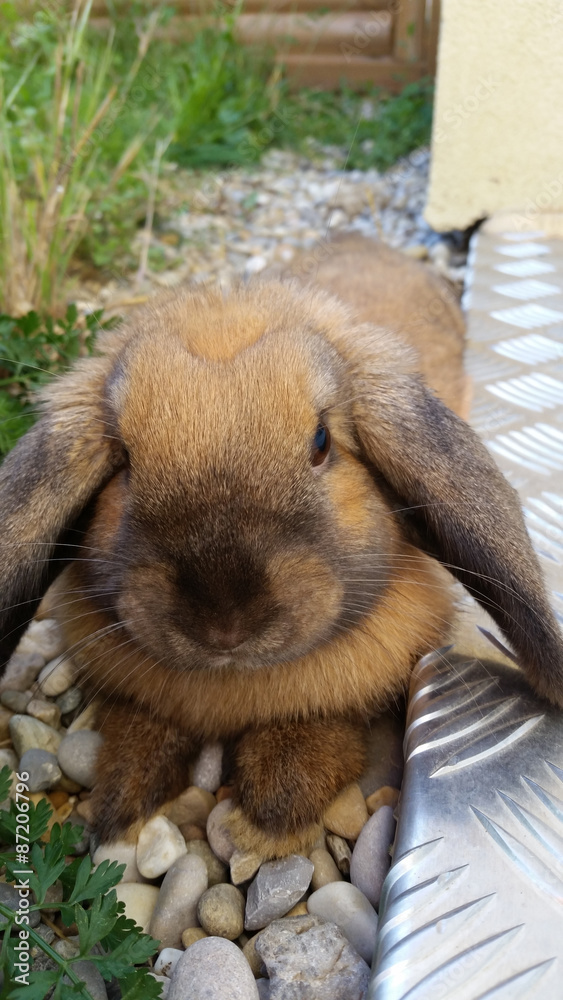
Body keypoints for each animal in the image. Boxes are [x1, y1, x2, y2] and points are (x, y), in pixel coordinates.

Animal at [1, 235, 562, 859]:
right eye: (122, 459)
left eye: (321, 442)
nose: (223, 624)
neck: (233, 685)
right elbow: (139, 727)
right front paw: (119, 799)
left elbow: (324, 729)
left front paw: (271, 808)